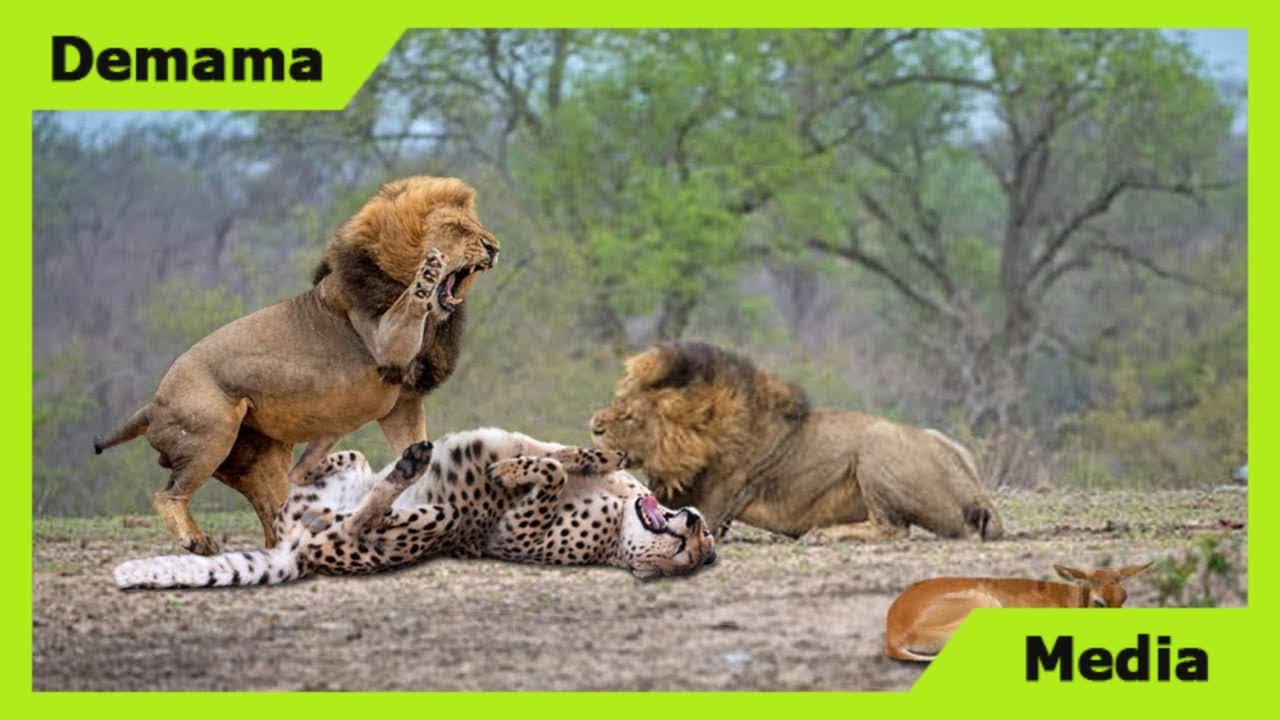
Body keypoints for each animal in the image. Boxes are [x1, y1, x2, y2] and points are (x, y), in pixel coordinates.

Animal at [93, 176, 499, 555]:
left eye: (477, 227)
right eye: (459, 229)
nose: (494, 247)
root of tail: (152, 404)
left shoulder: (401, 404)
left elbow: (417, 456)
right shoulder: (385, 345)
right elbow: (411, 303)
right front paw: (428, 273)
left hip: (259, 459)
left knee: (279, 517)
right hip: (213, 432)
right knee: (168, 495)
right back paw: (198, 541)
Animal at [589, 341, 1004, 542]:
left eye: (630, 416)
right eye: (618, 400)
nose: (593, 425)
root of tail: (974, 488)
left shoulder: (711, 508)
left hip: (876, 448)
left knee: (894, 529)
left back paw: (821, 535)